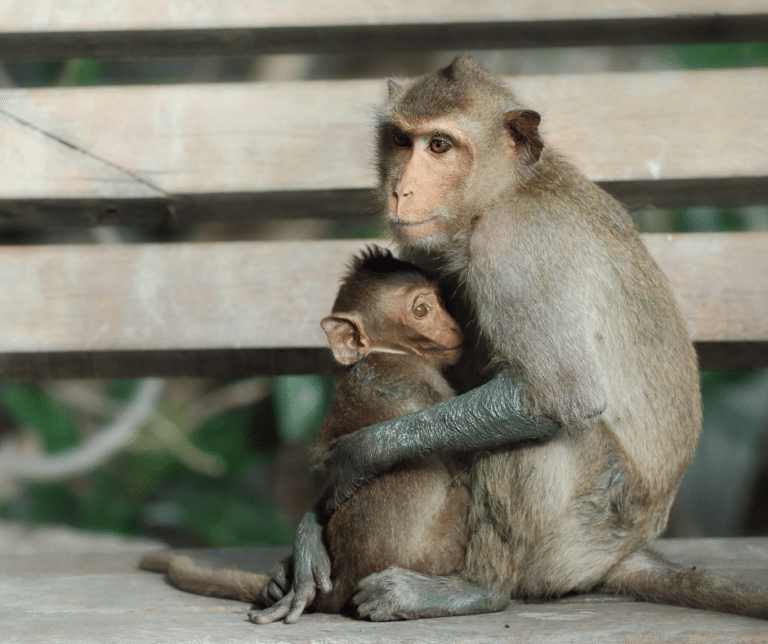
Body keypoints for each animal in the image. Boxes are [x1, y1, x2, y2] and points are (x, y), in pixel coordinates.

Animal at [140, 245, 470, 617]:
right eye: (421, 310)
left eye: (441, 300)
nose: (452, 326)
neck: (383, 352)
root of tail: (344, 581)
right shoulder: (422, 379)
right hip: (439, 550)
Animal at [256, 56, 768, 623]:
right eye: (400, 140)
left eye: (440, 146)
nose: (400, 190)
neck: (506, 191)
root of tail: (626, 552)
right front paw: (310, 530)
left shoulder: (514, 249)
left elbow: (560, 396)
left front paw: (360, 456)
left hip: (583, 534)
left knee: (535, 434)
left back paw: (475, 589)